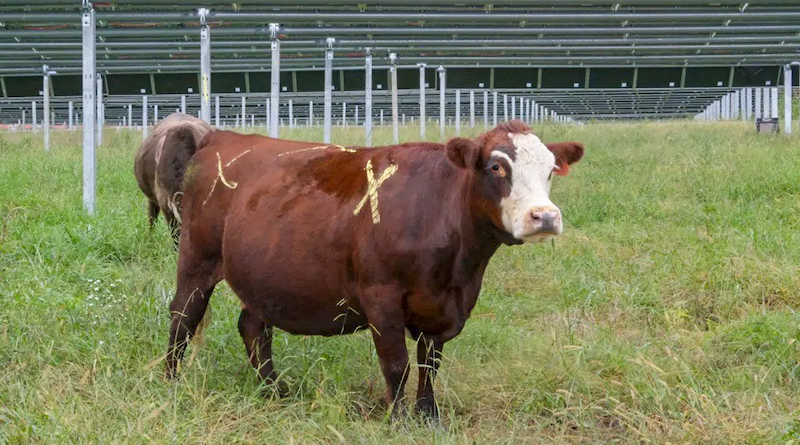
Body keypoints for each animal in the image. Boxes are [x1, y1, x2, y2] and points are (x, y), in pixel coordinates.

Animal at [164, 120, 584, 419]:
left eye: (550, 170)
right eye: (497, 166)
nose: (545, 216)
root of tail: (218, 137)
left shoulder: (446, 304)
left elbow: (430, 362)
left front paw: (428, 414)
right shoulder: (381, 295)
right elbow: (396, 363)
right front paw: (398, 419)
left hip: (261, 276)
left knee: (253, 328)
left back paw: (274, 390)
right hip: (197, 258)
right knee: (183, 316)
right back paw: (171, 381)